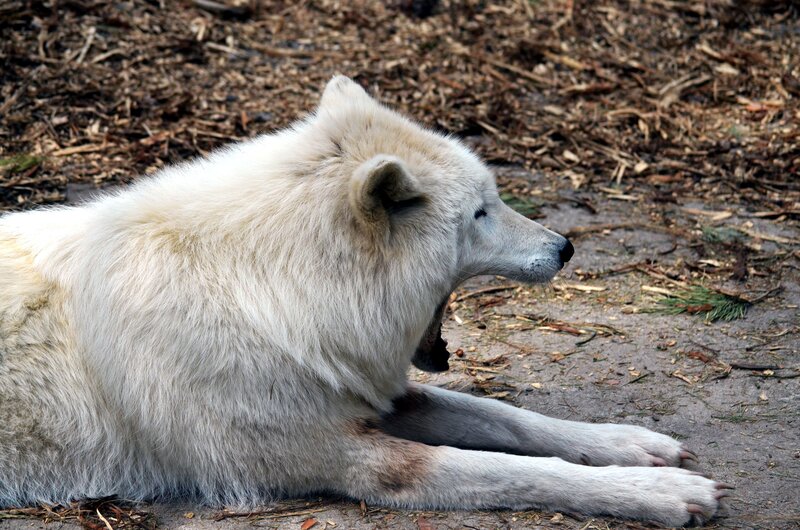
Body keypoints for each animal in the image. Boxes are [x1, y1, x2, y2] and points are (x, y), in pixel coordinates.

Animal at [0, 76, 728, 526]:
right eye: (481, 214)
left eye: (494, 200)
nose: (566, 247)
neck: (267, 294)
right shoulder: (353, 461)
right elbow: (516, 471)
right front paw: (661, 494)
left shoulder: (374, 393)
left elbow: (508, 418)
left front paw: (629, 445)